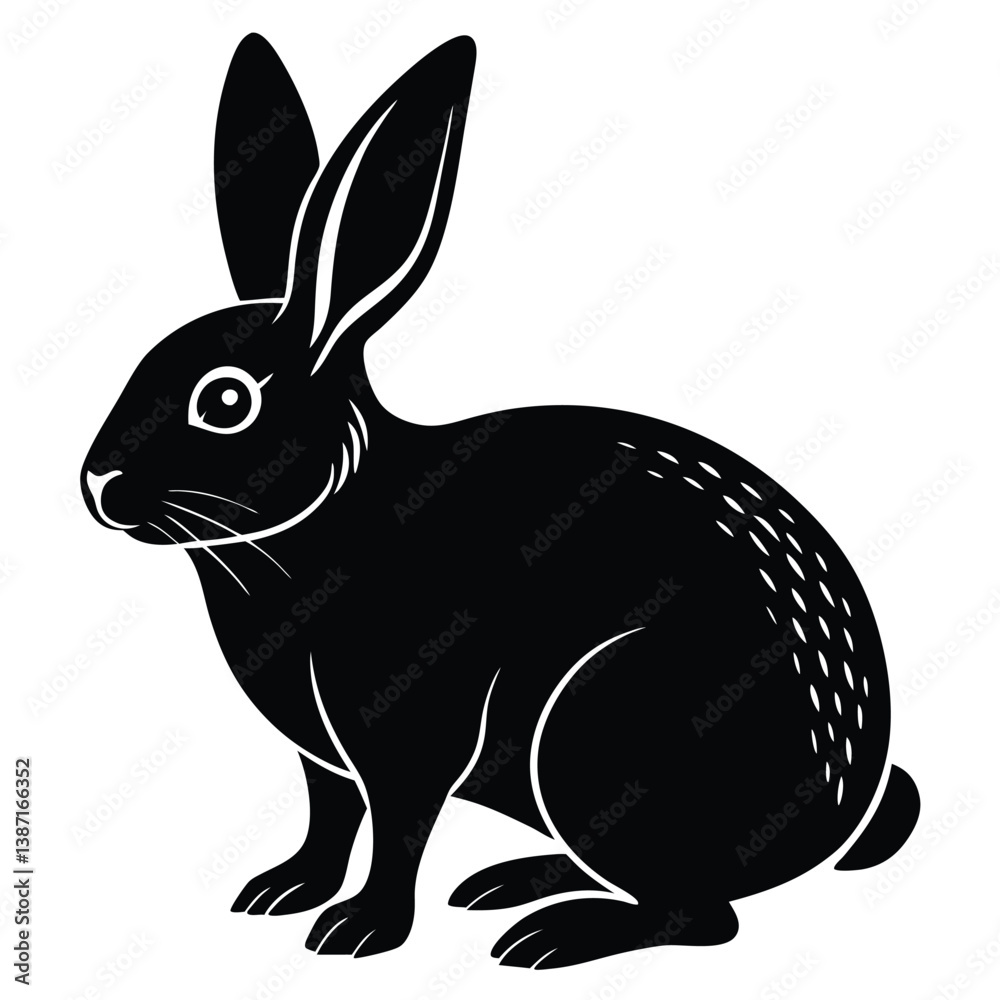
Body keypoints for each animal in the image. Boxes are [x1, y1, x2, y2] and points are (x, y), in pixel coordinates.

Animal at [80, 33, 920, 969]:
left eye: (225, 401)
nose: (99, 487)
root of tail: (845, 808)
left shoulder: (408, 733)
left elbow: (398, 827)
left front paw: (359, 931)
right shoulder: (321, 757)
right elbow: (329, 819)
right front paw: (281, 890)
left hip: (602, 731)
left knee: (702, 916)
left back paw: (549, 937)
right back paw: (508, 885)